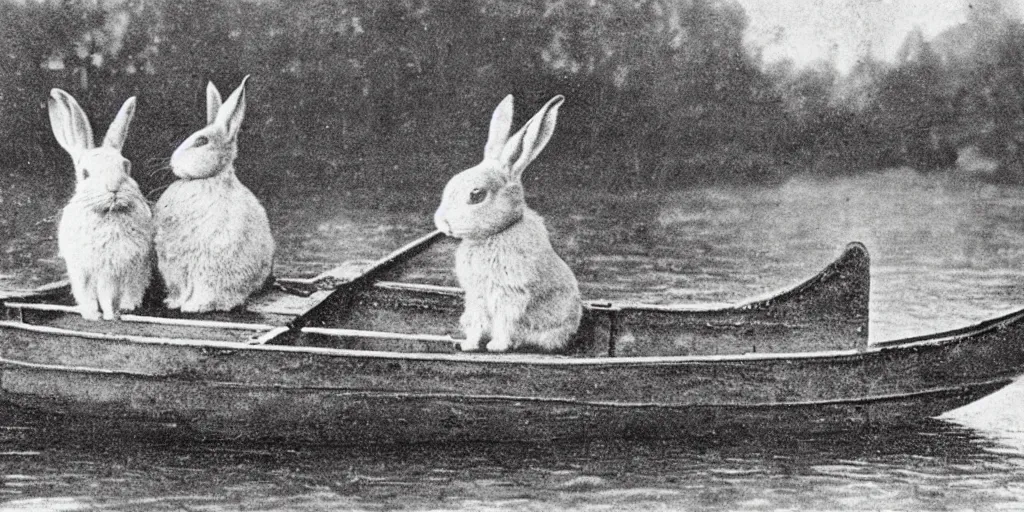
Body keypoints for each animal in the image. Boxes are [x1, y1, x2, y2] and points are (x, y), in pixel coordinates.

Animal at [48, 88, 151, 319]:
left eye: (126, 166)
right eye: (85, 173)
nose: (113, 188)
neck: (108, 213)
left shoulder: (121, 269)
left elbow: (114, 294)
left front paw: (114, 314)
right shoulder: (84, 271)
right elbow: (90, 295)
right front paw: (93, 316)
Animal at [150, 76, 272, 313]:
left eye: (201, 141)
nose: (173, 162)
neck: (204, 179)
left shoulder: (210, 264)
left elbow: (205, 289)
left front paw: (193, 307)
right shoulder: (175, 267)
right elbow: (180, 289)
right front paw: (174, 303)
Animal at [430, 95, 581, 352]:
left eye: (476, 194)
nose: (443, 223)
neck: (495, 233)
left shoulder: (509, 292)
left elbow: (504, 320)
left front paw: (497, 346)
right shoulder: (476, 296)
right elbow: (478, 322)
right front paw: (469, 345)